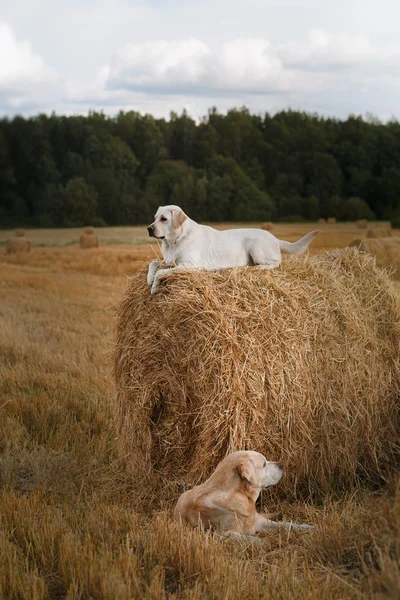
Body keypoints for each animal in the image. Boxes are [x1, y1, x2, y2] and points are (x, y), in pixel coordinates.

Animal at [147, 206, 318, 296]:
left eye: (164, 219)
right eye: (154, 217)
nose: (149, 228)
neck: (176, 240)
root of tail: (275, 238)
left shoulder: (190, 265)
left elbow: (161, 272)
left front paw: (155, 286)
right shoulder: (170, 261)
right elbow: (153, 263)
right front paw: (150, 278)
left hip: (255, 246)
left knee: (275, 263)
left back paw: (256, 268)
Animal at [173, 450, 310, 540]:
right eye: (264, 464)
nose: (281, 465)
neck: (239, 495)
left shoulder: (260, 522)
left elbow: (287, 524)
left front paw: (307, 527)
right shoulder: (220, 533)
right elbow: (249, 539)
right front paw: (263, 542)